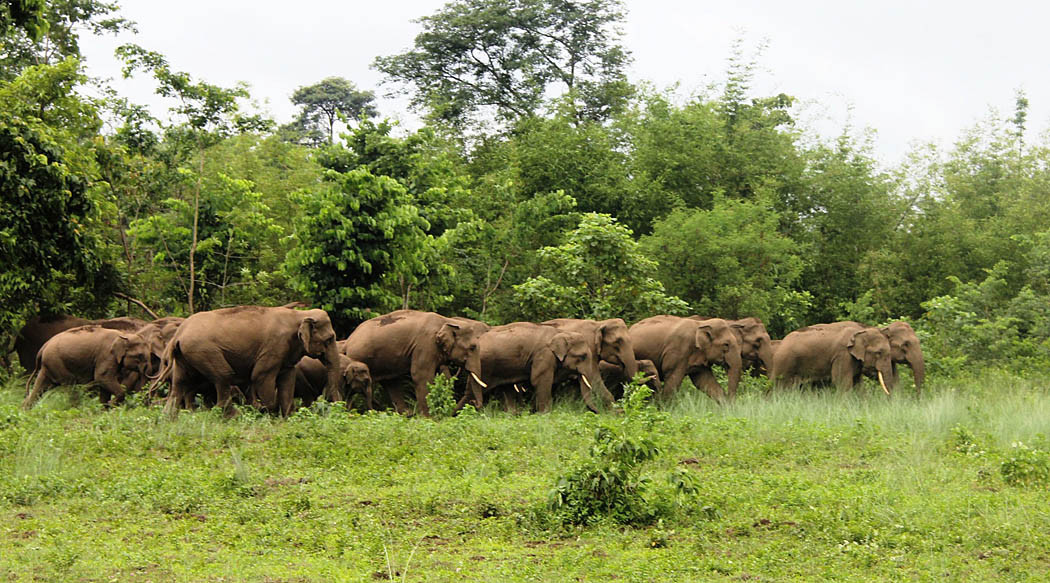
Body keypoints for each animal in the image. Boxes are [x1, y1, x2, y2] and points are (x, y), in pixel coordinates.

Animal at [23, 323, 155, 409]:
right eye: (140, 356)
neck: (124, 335)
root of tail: (44, 346)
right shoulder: (107, 356)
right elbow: (102, 377)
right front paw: (111, 405)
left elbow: (104, 384)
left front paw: (104, 408)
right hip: (57, 362)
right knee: (70, 385)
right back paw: (75, 408)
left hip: (48, 365)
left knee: (40, 386)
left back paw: (25, 410)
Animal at [159, 306, 340, 415]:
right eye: (330, 339)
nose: (339, 408)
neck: (299, 314)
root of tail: (178, 334)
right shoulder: (274, 346)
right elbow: (260, 376)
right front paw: (267, 411)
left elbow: (287, 379)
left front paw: (287, 416)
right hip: (203, 351)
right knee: (223, 376)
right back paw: (232, 415)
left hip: (185, 356)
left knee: (179, 383)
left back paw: (169, 418)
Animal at [344, 313, 491, 418]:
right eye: (472, 347)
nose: (474, 404)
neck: (447, 320)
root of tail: (348, 341)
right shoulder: (425, 344)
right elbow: (421, 375)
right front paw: (429, 418)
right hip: (359, 357)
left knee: (391, 382)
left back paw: (407, 414)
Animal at [461, 321, 604, 413]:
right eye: (583, 356)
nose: (598, 412)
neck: (561, 333)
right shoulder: (544, 355)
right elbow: (539, 380)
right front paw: (545, 414)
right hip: (484, 366)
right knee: (473, 393)